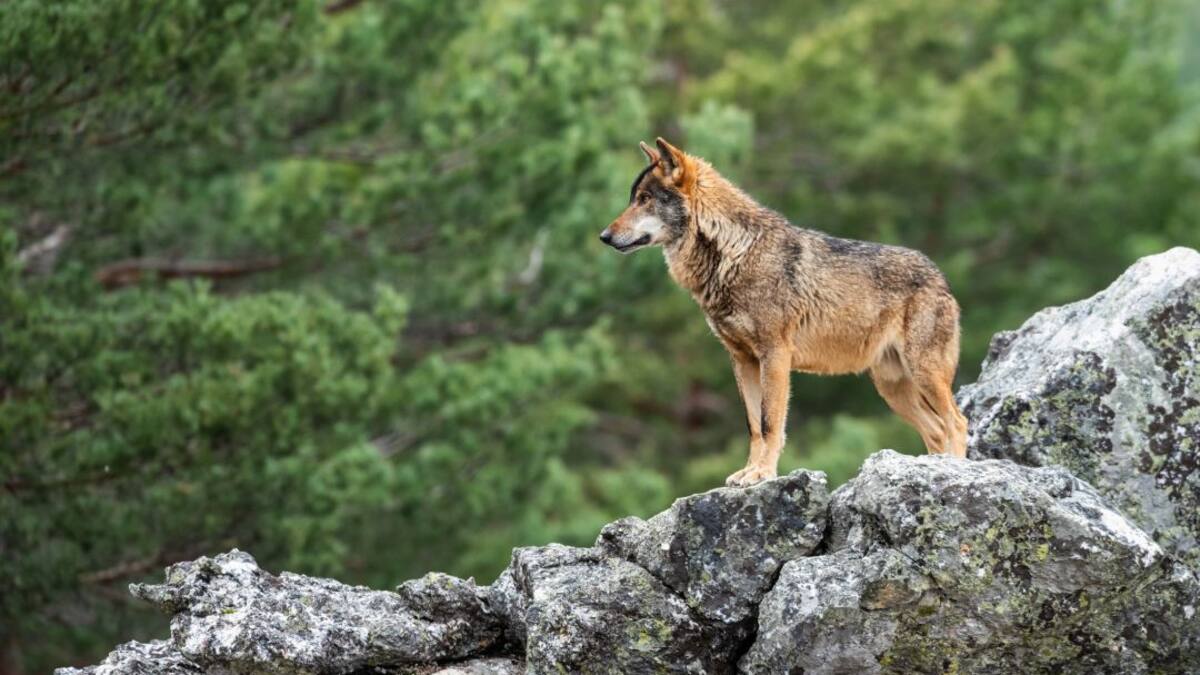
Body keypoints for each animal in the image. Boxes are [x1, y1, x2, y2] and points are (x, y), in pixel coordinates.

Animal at [600, 138, 968, 487]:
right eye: (633, 198)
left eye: (646, 198)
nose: (604, 236)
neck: (734, 253)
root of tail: (941, 277)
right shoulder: (742, 359)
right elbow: (753, 425)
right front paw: (748, 472)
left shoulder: (775, 354)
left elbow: (769, 422)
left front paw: (762, 474)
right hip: (893, 388)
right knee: (937, 429)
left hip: (922, 373)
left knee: (957, 422)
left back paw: (955, 470)